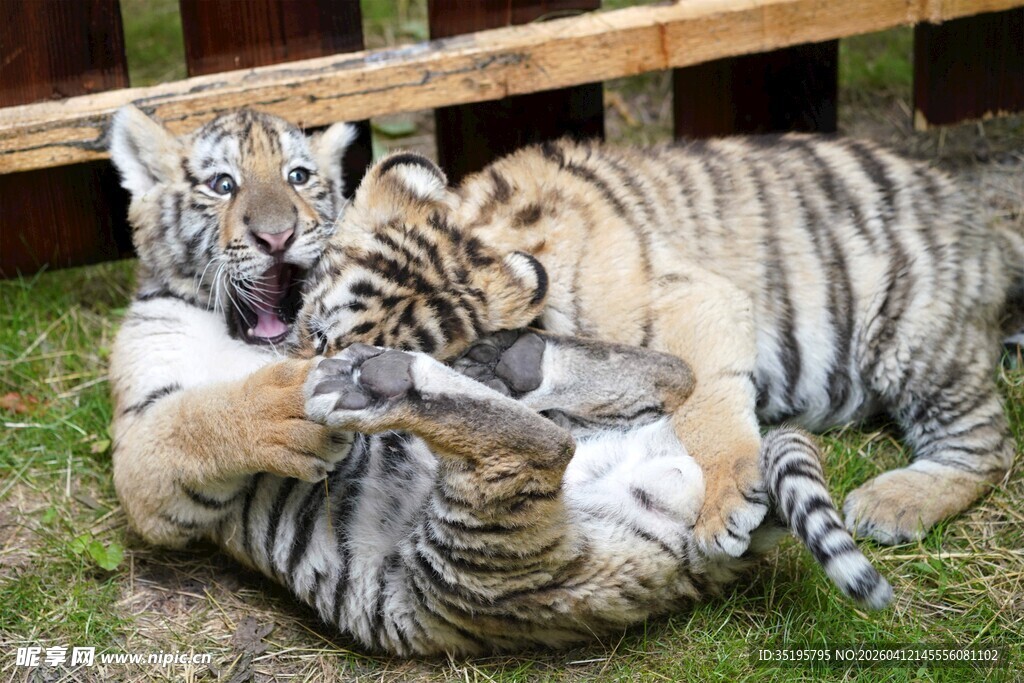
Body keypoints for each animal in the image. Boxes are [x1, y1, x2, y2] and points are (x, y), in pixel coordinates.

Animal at [107, 106, 890, 656]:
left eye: (299, 177)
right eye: (223, 184)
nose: (275, 235)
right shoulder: (145, 454)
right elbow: (195, 420)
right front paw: (284, 401)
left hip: (483, 544)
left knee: (573, 424)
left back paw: (442, 375)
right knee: (617, 399)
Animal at [297, 139, 1024, 552]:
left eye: (370, 355)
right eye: (314, 332)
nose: (309, 387)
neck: (485, 232)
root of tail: (985, 225)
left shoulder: (698, 300)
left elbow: (705, 400)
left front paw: (724, 504)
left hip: (913, 332)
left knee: (988, 443)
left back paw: (892, 503)